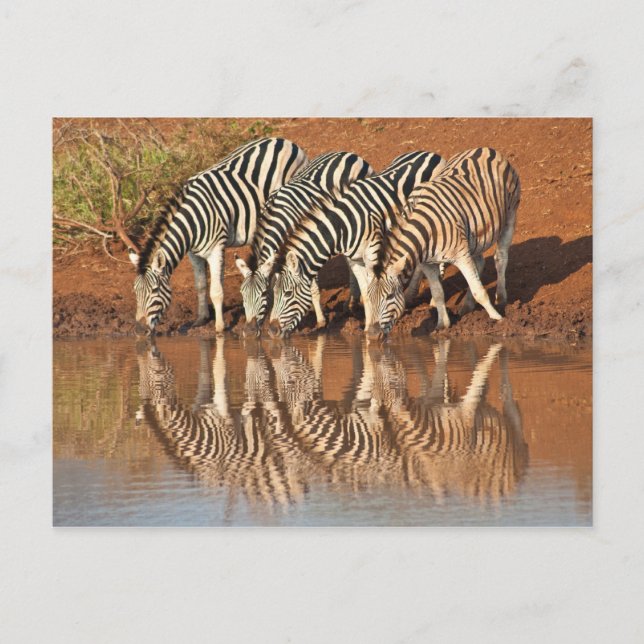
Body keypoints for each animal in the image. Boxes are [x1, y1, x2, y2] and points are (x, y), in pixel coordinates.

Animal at [129, 137, 308, 335]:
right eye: (135, 292)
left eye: (154, 291)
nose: (139, 331)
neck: (192, 220)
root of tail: (284, 140)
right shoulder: (193, 253)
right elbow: (201, 285)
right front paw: (201, 318)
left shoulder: (215, 249)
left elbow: (216, 291)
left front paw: (220, 327)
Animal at [234, 151, 374, 337]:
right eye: (242, 294)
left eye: (263, 294)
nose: (248, 333)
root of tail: (347, 153)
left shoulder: (308, 246)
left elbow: (313, 288)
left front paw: (320, 321)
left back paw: (353, 301)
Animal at [266, 151, 446, 337]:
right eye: (274, 292)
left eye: (287, 294)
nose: (271, 331)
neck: (343, 226)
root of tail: (430, 153)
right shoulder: (355, 260)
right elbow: (366, 293)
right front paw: (367, 328)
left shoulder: (372, 254)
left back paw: (433, 299)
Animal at [364, 147, 521, 339]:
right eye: (369, 298)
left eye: (390, 297)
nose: (372, 335)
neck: (424, 229)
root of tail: (484, 149)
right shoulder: (427, 264)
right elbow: (438, 293)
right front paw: (441, 325)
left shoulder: (461, 255)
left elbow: (480, 291)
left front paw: (498, 319)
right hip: (474, 237)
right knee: (480, 262)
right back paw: (467, 305)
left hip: (510, 215)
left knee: (500, 258)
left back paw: (501, 298)